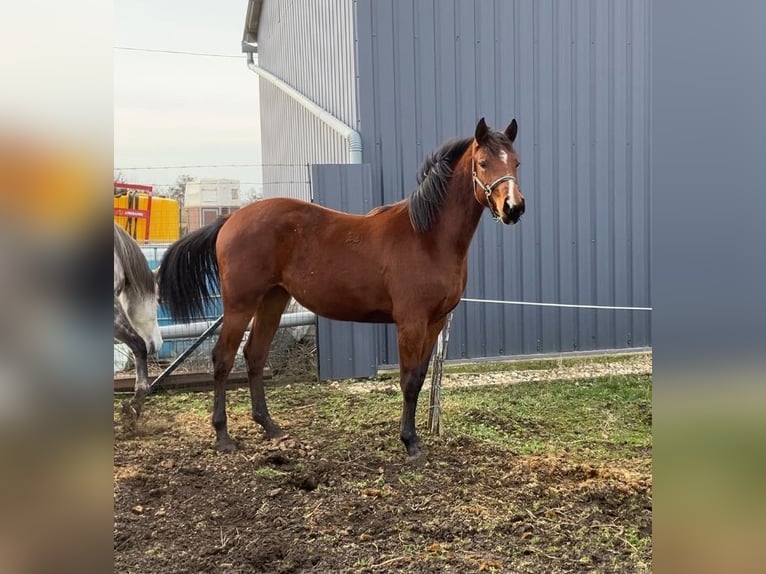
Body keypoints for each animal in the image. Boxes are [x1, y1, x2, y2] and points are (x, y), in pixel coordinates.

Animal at [158, 118, 524, 464]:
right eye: (482, 163)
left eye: (516, 162)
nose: (514, 208)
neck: (427, 237)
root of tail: (229, 221)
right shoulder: (411, 323)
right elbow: (407, 380)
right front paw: (409, 443)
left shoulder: (434, 322)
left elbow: (419, 378)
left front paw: (414, 437)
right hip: (239, 303)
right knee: (223, 358)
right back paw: (223, 436)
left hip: (273, 299)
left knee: (255, 355)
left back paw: (270, 426)